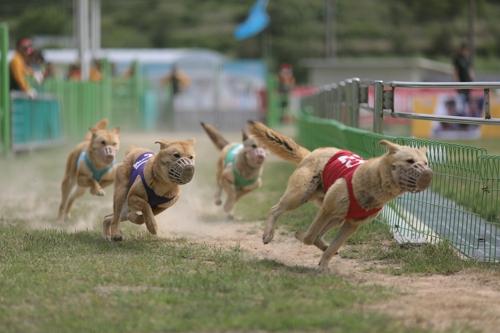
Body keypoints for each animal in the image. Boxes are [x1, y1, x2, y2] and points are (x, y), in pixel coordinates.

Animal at [248, 120, 432, 268]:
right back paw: (268, 234)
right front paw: (300, 235)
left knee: (320, 235)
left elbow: (331, 246)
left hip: (337, 218)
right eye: (409, 161)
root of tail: (311, 153)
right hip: (299, 197)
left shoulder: (351, 224)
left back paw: (322, 245)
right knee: (275, 210)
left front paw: (323, 266)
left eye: (425, 163)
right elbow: (308, 236)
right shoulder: (326, 211)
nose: (428, 173)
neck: (374, 182)